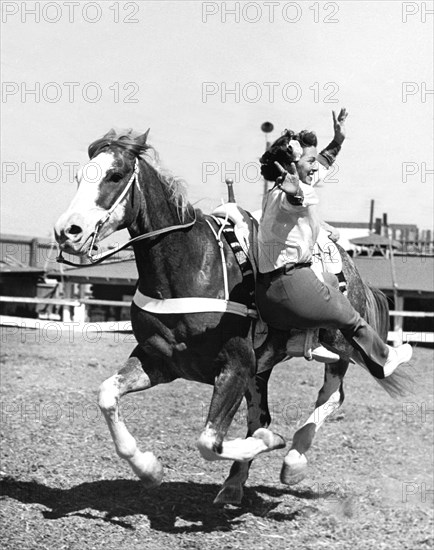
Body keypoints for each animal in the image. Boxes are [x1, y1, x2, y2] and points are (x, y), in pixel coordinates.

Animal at [54, 130, 410, 508]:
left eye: (115, 175)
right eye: (78, 177)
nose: (67, 231)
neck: (192, 267)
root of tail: (348, 261)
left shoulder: (234, 367)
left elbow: (209, 441)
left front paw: (272, 441)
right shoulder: (159, 361)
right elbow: (108, 395)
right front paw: (149, 469)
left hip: (338, 342)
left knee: (331, 395)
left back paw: (294, 460)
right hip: (261, 367)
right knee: (262, 415)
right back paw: (235, 484)